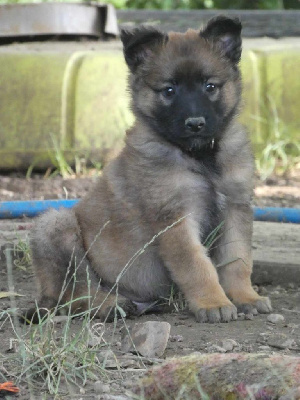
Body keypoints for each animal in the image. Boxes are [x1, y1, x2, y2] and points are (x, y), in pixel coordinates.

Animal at [26, 15, 272, 324]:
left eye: (210, 87)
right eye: (169, 90)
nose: (195, 123)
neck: (200, 157)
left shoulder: (235, 208)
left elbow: (237, 260)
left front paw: (244, 297)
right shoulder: (175, 217)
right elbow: (196, 265)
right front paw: (213, 302)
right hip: (55, 224)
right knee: (76, 292)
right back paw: (110, 305)